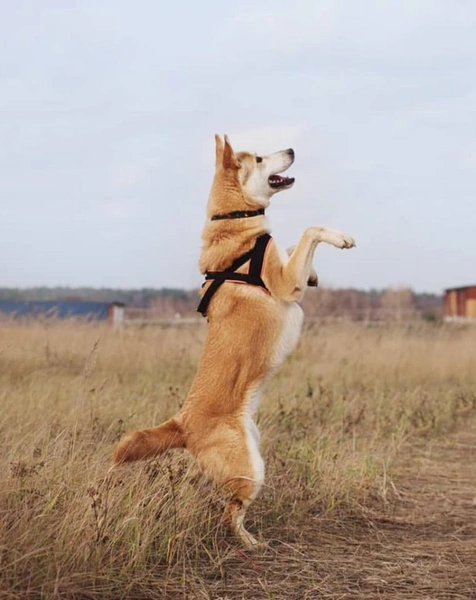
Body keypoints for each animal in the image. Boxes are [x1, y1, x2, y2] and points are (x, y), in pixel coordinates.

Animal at [113, 135, 356, 548]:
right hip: (250, 470)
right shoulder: (284, 282)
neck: (234, 220)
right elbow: (309, 231)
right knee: (230, 514)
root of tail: (182, 423)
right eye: (259, 157)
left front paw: (314, 273)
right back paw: (250, 543)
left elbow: (292, 244)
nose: (292, 149)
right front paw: (338, 237)